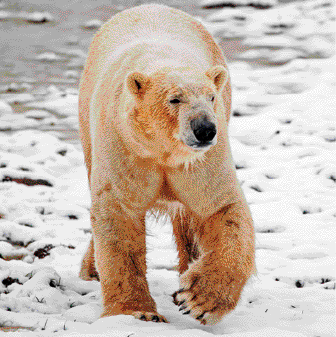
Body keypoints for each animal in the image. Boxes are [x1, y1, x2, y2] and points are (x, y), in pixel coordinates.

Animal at [77, 1, 253, 322]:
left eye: (211, 97)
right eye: (175, 99)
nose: (205, 129)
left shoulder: (200, 161)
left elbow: (220, 207)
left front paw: (198, 297)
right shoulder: (126, 147)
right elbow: (118, 214)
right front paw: (137, 312)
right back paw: (91, 268)